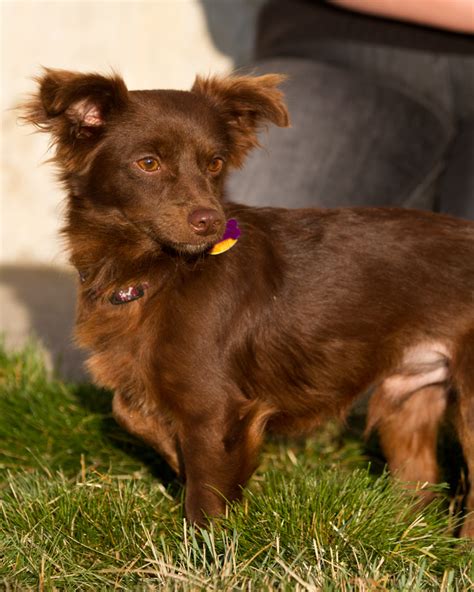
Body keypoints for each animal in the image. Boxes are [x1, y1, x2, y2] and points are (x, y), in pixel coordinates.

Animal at [22, 69, 474, 536]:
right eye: (148, 163)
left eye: (215, 163)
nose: (210, 221)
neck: (160, 272)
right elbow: (129, 411)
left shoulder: (215, 409)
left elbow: (205, 493)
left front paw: (209, 547)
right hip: (408, 395)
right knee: (420, 479)